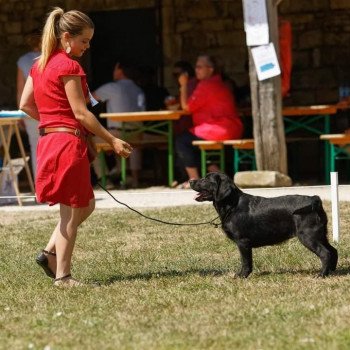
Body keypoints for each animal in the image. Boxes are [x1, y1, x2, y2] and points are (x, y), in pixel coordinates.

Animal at [190, 173, 338, 278]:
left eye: (206, 179)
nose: (190, 181)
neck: (232, 205)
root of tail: (314, 199)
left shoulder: (243, 242)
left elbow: (246, 262)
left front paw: (242, 276)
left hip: (308, 236)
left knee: (325, 253)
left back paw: (321, 275)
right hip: (321, 234)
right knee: (333, 250)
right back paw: (331, 272)